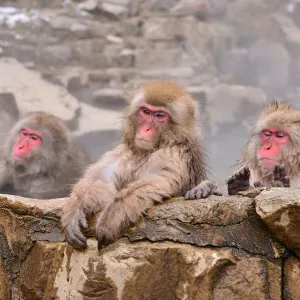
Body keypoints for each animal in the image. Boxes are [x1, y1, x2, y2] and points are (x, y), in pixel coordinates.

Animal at [61, 80, 221, 251]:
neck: (153, 148)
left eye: (160, 116)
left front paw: (110, 217)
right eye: (146, 112)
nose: (146, 129)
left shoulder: (173, 153)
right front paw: (75, 211)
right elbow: (102, 175)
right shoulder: (128, 150)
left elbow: (159, 181)